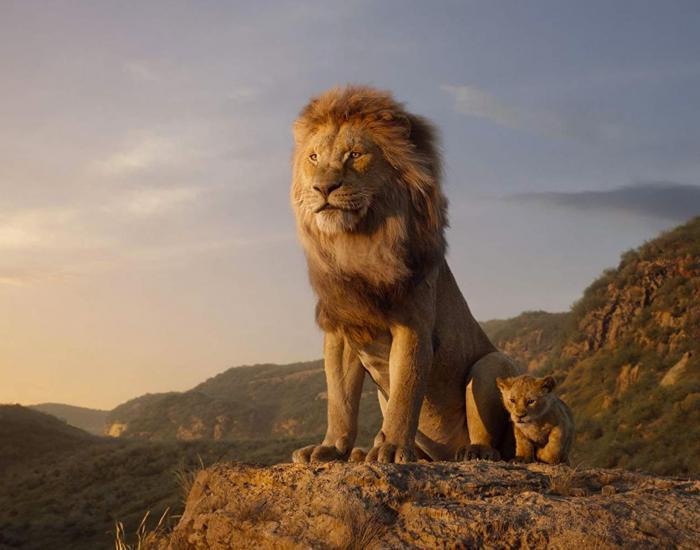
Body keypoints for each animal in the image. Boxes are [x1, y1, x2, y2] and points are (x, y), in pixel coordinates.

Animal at [290, 85, 522, 464]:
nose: (323, 188)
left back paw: (473, 452)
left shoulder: (413, 325)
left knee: (492, 438)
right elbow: (340, 400)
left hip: (491, 364)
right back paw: (363, 453)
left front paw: (393, 448)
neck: (357, 243)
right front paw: (331, 448)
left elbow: (405, 392)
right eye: (313, 157)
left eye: (355, 155)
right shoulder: (341, 329)